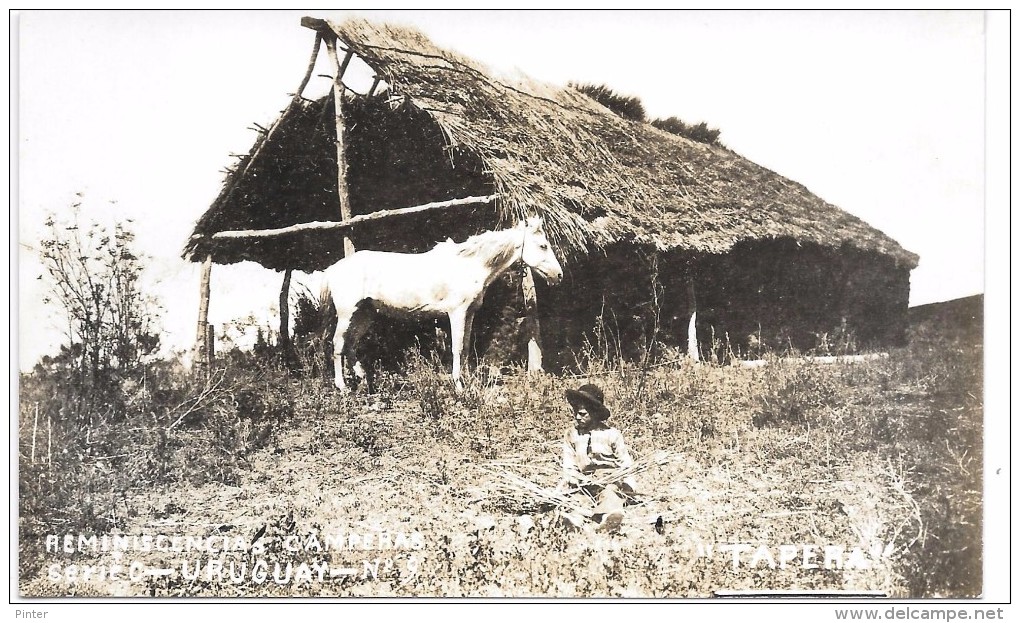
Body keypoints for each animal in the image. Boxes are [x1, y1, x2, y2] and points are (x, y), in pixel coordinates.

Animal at [324, 218, 567, 389]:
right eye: (543, 246)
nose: (559, 275)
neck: (470, 265)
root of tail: (333, 270)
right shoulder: (456, 313)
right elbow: (456, 347)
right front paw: (458, 385)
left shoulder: (469, 313)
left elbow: (466, 347)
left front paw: (469, 380)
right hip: (347, 314)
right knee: (338, 344)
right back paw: (342, 387)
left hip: (365, 314)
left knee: (351, 343)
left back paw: (362, 378)